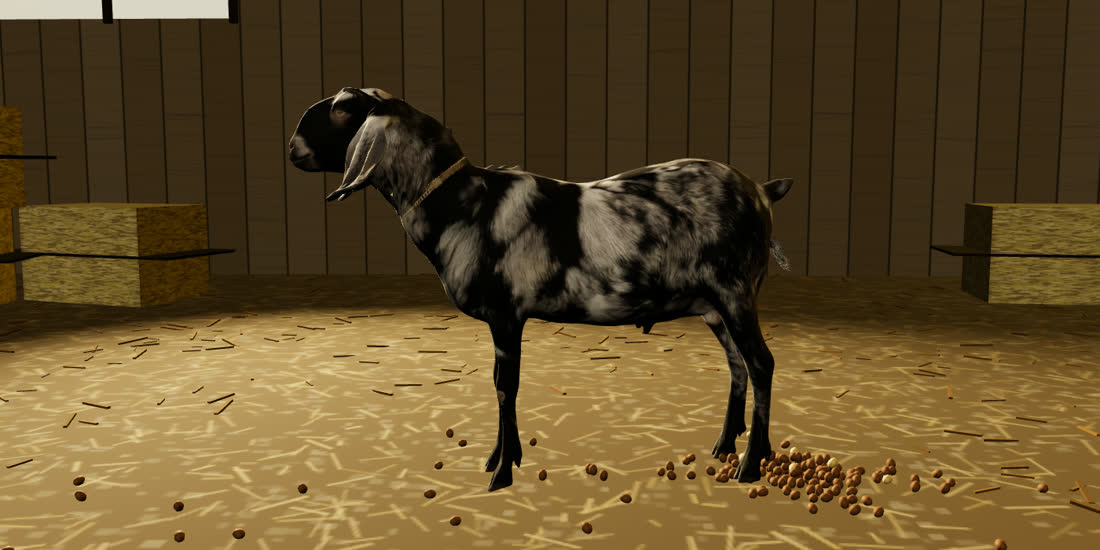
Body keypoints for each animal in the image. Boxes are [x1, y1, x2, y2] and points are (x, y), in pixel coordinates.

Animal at [289, 87, 793, 492]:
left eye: (343, 107)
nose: (292, 148)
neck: (465, 204)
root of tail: (761, 190)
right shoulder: (504, 320)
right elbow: (500, 385)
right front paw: (501, 457)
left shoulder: (506, 314)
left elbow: (505, 387)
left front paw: (501, 473)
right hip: (714, 306)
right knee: (738, 365)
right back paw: (725, 445)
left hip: (735, 293)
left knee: (762, 364)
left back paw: (752, 464)